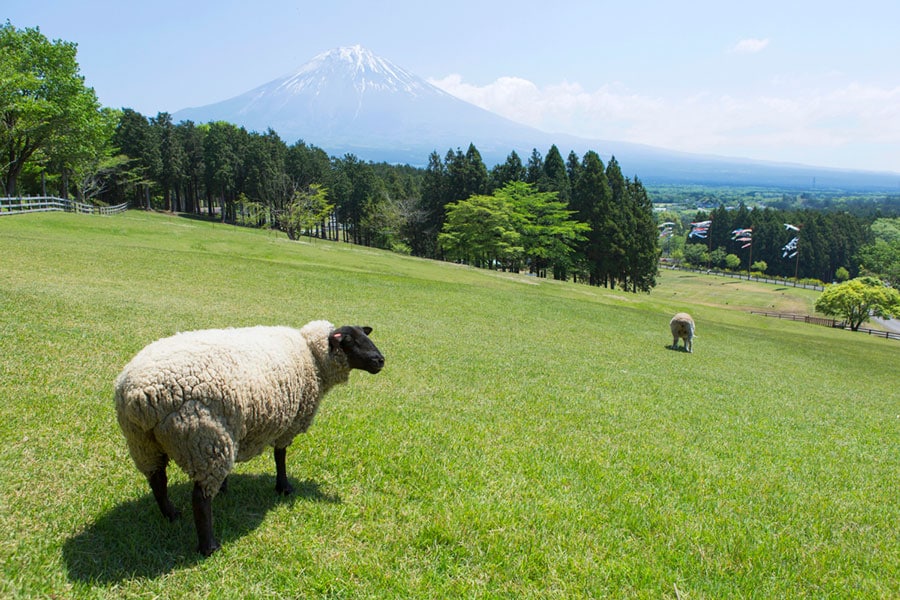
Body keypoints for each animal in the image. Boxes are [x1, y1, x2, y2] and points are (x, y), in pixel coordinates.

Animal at [112, 322, 384, 556]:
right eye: (350, 341)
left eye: (365, 334)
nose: (380, 360)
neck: (311, 355)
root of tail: (139, 396)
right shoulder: (287, 423)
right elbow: (280, 456)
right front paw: (284, 487)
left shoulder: (234, 430)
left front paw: (225, 487)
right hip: (204, 437)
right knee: (199, 498)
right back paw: (209, 547)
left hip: (144, 443)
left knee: (157, 480)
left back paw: (171, 514)